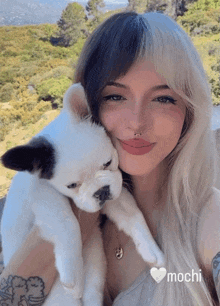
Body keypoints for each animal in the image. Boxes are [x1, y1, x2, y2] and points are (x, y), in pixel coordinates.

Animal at [1, 83, 163, 306]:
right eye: (72, 185)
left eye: (108, 162)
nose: (101, 192)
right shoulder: (42, 195)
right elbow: (67, 223)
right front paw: (73, 274)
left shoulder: (113, 194)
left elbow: (133, 215)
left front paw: (151, 249)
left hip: (95, 269)